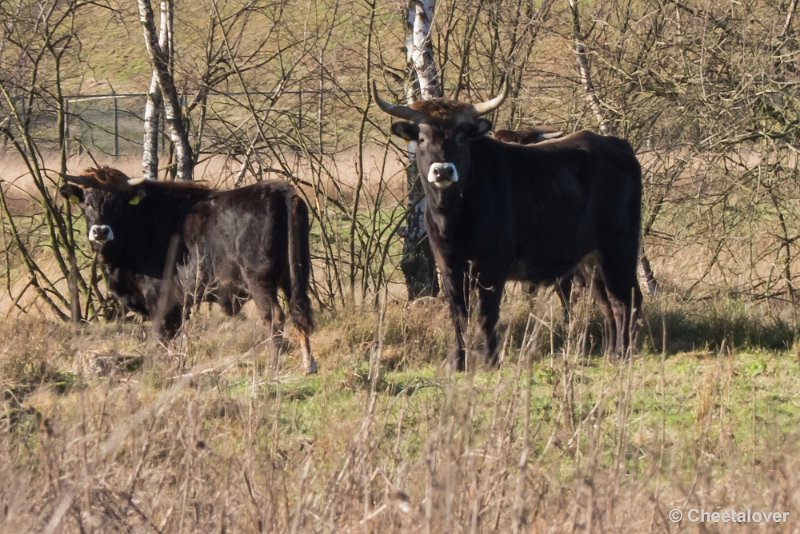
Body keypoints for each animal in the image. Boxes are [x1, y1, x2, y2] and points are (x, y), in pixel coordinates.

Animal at [61, 169, 318, 376]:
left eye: (117, 203)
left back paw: (274, 366)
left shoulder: (160, 300)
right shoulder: (179, 305)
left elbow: (163, 337)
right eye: (87, 203)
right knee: (299, 314)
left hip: (260, 284)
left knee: (274, 318)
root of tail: (280, 190)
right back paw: (308, 365)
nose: (100, 231)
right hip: (294, 278)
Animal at [376, 84, 644, 370]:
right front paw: (458, 362)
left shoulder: (492, 265)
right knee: (607, 303)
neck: (454, 216)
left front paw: (491, 360)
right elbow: (459, 315)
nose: (443, 171)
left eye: (460, 137)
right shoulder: (449, 266)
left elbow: (487, 313)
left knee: (623, 300)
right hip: (591, 260)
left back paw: (623, 354)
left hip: (619, 249)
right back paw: (612, 352)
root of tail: (618, 146)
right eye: (423, 138)